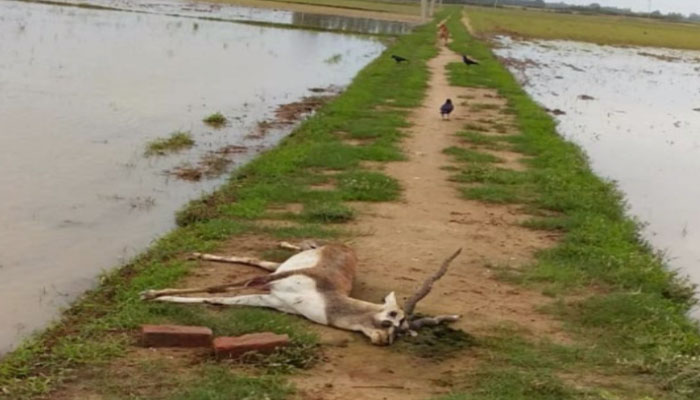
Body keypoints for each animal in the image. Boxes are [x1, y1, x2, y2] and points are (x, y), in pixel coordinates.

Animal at [140, 242, 462, 346]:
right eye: (393, 317)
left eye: (404, 333)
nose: (384, 340)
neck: (322, 298)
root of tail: (347, 248)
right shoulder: (273, 282)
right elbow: (214, 287)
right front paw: (149, 293)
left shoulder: (270, 299)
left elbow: (216, 298)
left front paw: (162, 297)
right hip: (278, 270)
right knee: (301, 246)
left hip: (270, 271)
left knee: (255, 258)